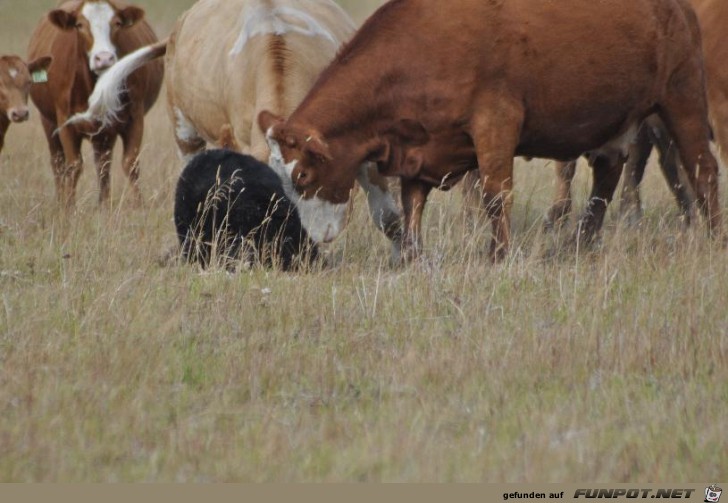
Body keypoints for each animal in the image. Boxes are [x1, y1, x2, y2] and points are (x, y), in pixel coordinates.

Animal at [27, 0, 163, 208]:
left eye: (117, 23)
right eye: (80, 25)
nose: (104, 58)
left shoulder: (134, 117)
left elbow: (130, 163)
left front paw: (139, 206)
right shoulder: (64, 121)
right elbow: (73, 165)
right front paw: (68, 208)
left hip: (104, 132)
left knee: (103, 165)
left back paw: (104, 205)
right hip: (48, 121)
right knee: (58, 162)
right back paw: (61, 201)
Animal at [258, 0, 720, 260]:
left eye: (303, 175)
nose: (307, 238)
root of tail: (675, 7)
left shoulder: (496, 123)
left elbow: (495, 196)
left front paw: (497, 254)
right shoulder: (418, 149)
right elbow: (412, 205)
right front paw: (411, 257)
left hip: (682, 97)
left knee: (703, 170)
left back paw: (715, 237)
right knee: (606, 180)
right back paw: (575, 245)